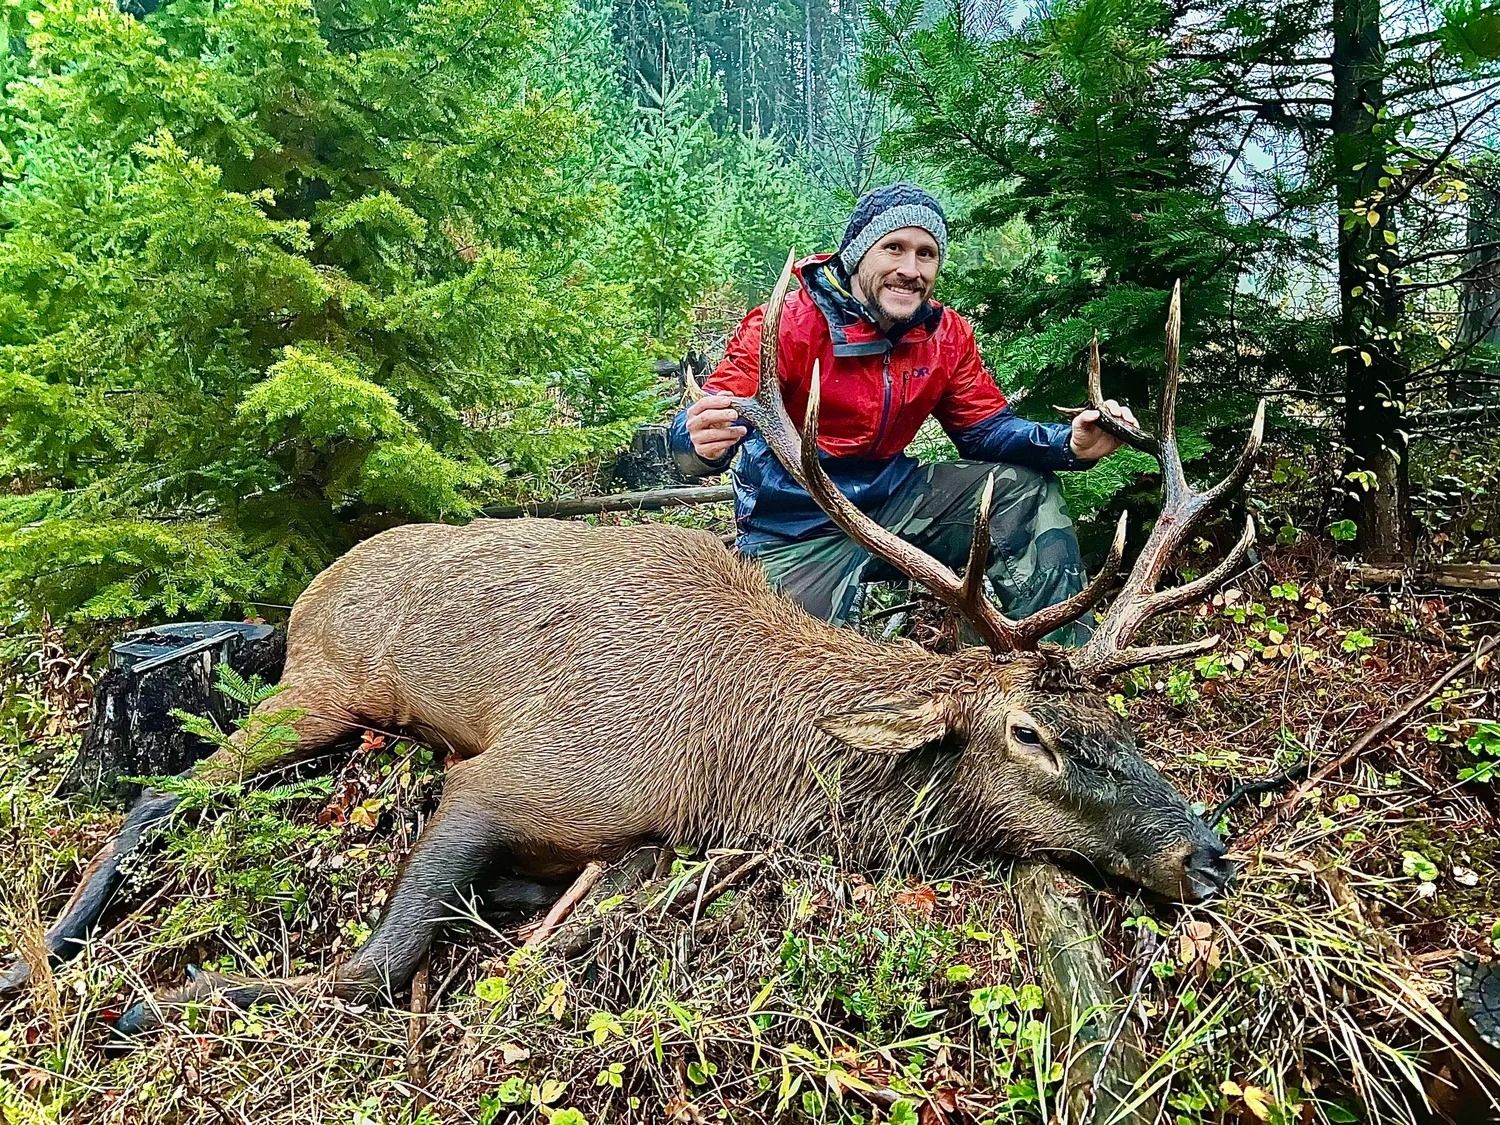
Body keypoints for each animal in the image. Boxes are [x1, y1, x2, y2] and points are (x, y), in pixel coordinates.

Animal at [0, 257, 1264, 1033]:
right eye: (1031, 735)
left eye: (1122, 724)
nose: (1207, 856)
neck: (727, 763)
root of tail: (316, 583)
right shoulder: (514, 774)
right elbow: (371, 966)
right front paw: (158, 1001)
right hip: (321, 683)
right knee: (162, 796)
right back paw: (47, 956)